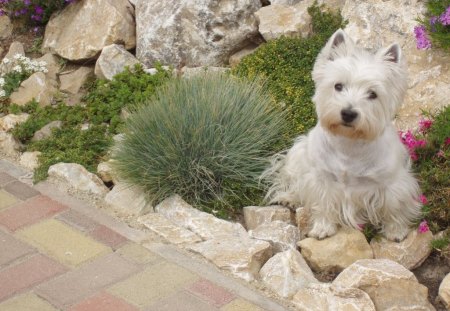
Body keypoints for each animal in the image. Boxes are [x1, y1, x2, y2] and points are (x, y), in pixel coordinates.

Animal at [264, 29, 422, 243]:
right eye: (338, 86)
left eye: (372, 94)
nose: (348, 113)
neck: (349, 144)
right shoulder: (321, 178)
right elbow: (322, 203)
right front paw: (323, 228)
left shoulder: (392, 183)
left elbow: (394, 207)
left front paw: (395, 231)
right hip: (299, 152)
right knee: (294, 181)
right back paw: (288, 198)